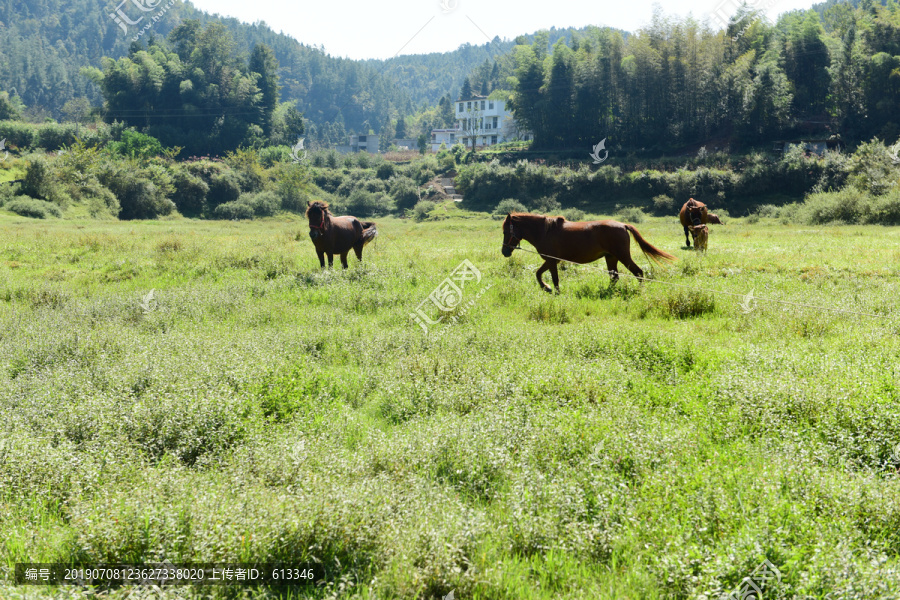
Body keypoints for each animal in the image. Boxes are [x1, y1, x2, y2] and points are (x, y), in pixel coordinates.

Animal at [501, 212, 676, 293]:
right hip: (611, 258)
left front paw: (552, 290)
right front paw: (547, 288)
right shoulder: (551, 260)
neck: (545, 231)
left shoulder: (552, 260)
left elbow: (552, 278)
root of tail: (622, 225)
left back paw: (640, 291)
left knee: (638, 272)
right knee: (614, 277)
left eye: (506, 231)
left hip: (622, 256)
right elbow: (538, 274)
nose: (504, 252)